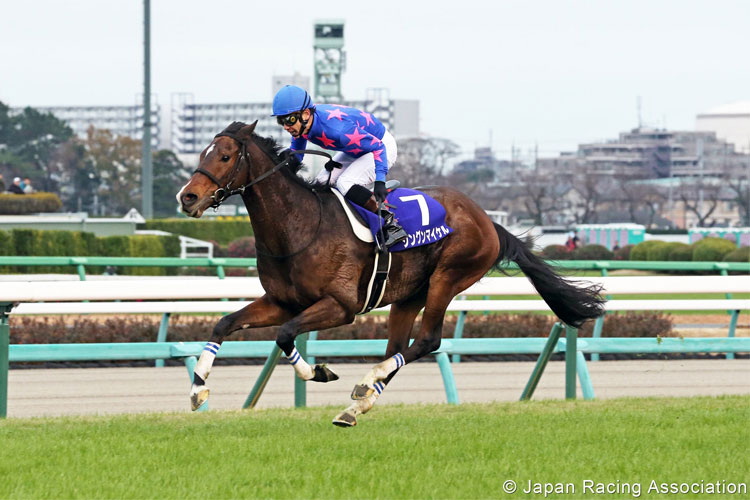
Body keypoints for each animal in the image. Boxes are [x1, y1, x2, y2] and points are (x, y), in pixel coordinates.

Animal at [176, 121, 604, 426]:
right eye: (203, 152)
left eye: (225, 156)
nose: (187, 197)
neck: (299, 225)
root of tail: (488, 220)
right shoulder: (282, 301)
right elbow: (225, 323)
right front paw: (197, 388)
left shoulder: (341, 306)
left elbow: (284, 335)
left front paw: (319, 372)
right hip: (408, 294)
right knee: (398, 348)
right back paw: (357, 406)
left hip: (448, 277)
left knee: (427, 340)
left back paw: (366, 384)